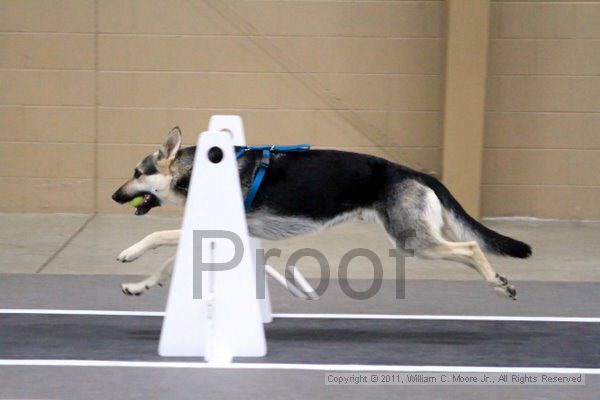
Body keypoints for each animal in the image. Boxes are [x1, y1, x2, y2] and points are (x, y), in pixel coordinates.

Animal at [111, 127, 528, 296]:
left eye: (137, 173)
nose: (115, 196)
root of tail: (415, 172)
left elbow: (158, 236)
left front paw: (131, 252)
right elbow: (169, 265)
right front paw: (141, 285)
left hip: (414, 242)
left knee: (471, 248)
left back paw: (497, 283)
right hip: (418, 241)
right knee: (470, 251)